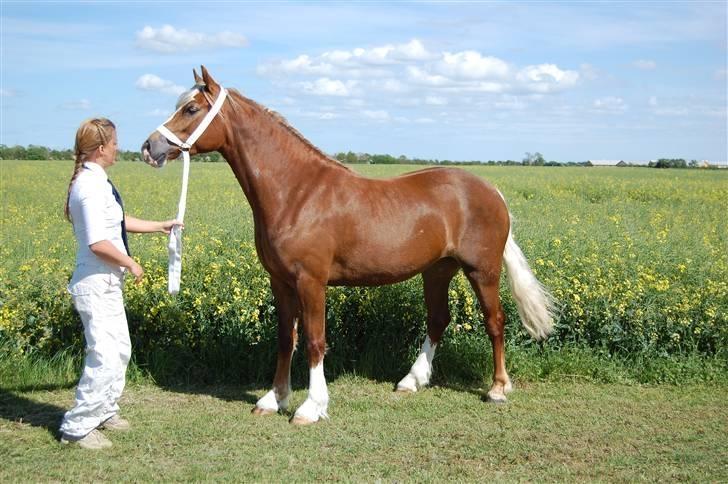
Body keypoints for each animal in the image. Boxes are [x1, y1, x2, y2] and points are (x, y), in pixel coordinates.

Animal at [141, 67, 552, 424]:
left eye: (191, 108)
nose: (149, 147)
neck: (296, 191)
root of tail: (491, 190)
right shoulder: (280, 281)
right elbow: (285, 339)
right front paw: (273, 399)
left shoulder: (311, 281)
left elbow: (314, 341)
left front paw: (311, 407)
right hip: (437, 270)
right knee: (438, 320)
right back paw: (411, 381)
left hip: (482, 270)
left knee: (495, 321)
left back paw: (497, 388)